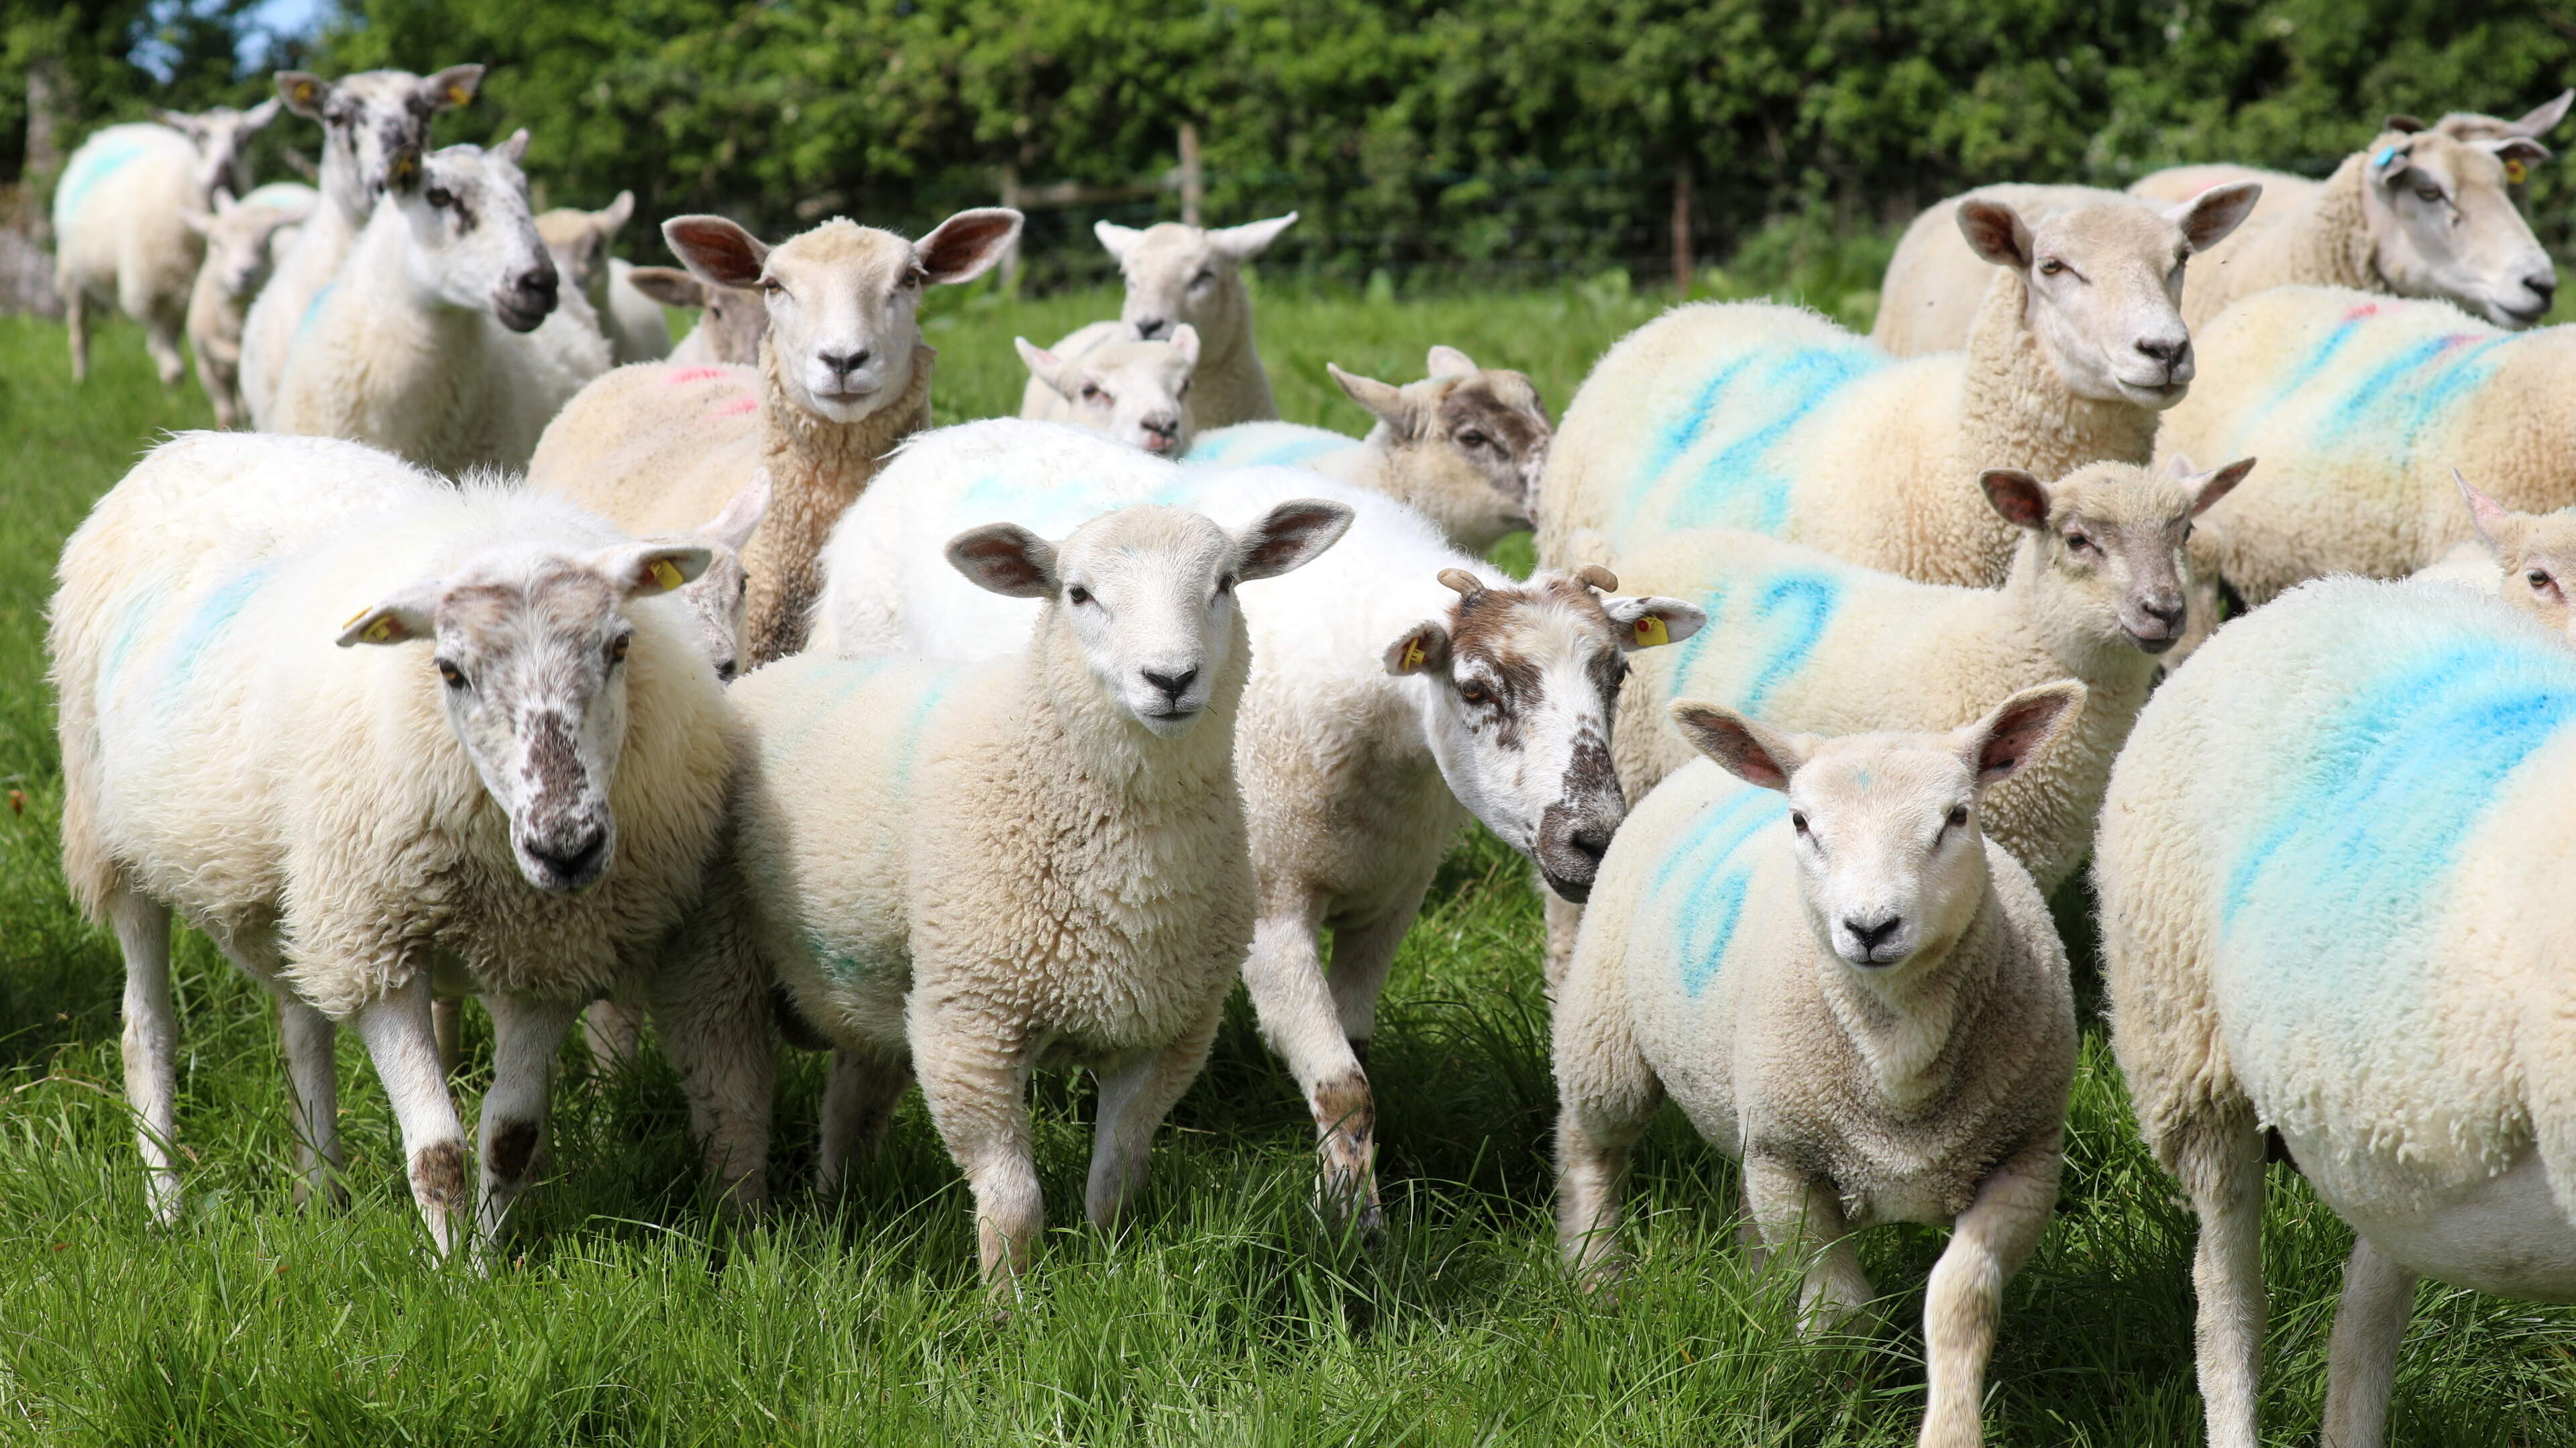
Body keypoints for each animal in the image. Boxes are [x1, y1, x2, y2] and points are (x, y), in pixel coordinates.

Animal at [49, 431, 761, 1250]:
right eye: (449, 670)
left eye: (620, 646)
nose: (567, 847)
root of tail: (197, 441)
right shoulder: (378, 945)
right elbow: (439, 1151)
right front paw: (449, 1268)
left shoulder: (551, 954)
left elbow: (509, 1135)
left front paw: (488, 1259)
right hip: (115, 840)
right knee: (147, 1031)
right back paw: (165, 1204)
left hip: (300, 884)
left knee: (303, 1023)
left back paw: (320, 1189)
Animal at [53, 100, 281, 386]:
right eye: (198, 135)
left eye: (246, 138)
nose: (224, 173)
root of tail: (116, 130)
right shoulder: (151, 295)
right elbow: (174, 366)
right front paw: (172, 387)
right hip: (71, 272)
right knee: (80, 329)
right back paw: (81, 378)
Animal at [724, 496, 1351, 1285]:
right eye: (1078, 593)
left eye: (1226, 582)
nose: (1171, 678)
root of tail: (773, 669)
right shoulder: (971, 1025)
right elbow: (1013, 1200)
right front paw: (1008, 1304)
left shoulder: (1167, 1031)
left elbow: (1118, 1175)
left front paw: (1109, 1272)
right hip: (725, 957)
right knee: (735, 1100)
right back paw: (743, 1225)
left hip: (879, 979)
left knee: (854, 1097)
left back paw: (838, 1199)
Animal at [812, 420, 1705, 1223]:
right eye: (1477, 688)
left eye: (1617, 676)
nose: (1596, 838)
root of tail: (924, 445)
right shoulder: (1271, 910)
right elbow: (1345, 1088)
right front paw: (1352, 1231)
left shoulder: (1391, 900)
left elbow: (1357, 1062)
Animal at [1555, 681, 2085, 1448]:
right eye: (1803, 823)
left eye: (1958, 816)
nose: (1870, 927)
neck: (1898, 1055)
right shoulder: (1794, 1164)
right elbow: (1840, 1312)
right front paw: (1833, 1405)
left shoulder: (2025, 1158)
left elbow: (1961, 1304)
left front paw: (1950, 1429)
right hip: (1605, 1035)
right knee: (1592, 1149)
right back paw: (1597, 1275)